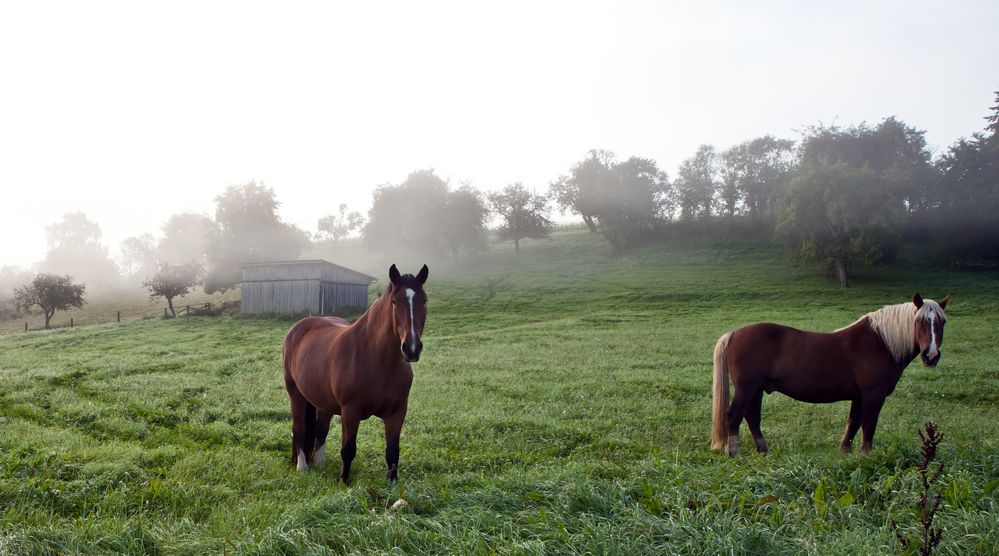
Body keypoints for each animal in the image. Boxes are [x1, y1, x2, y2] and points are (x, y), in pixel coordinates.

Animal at [282, 262, 430, 482]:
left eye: (424, 300)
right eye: (394, 302)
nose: (411, 348)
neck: (378, 362)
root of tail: (299, 327)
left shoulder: (397, 412)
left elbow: (393, 452)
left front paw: (392, 484)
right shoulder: (350, 412)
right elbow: (348, 450)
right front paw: (344, 483)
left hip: (323, 402)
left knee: (321, 431)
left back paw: (320, 464)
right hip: (296, 394)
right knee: (299, 428)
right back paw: (303, 467)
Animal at [712, 292, 952, 456]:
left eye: (942, 322)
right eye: (920, 321)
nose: (931, 355)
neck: (880, 342)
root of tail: (733, 334)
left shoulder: (859, 396)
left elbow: (853, 423)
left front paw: (845, 451)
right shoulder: (873, 395)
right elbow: (868, 425)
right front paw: (867, 455)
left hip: (758, 389)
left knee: (752, 417)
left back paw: (763, 450)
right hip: (747, 387)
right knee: (733, 415)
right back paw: (733, 452)